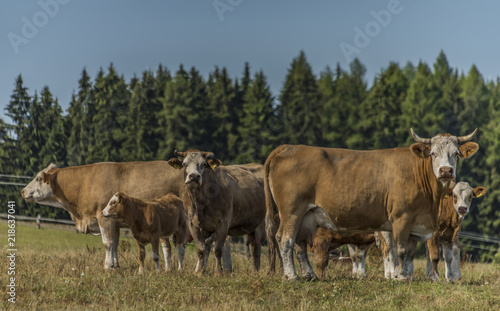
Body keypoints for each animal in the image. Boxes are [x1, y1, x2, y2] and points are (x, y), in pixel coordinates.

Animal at [266, 130, 480, 282]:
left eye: (456, 154)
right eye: (433, 153)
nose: (446, 171)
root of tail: (288, 147)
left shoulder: (415, 223)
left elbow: (409, 253)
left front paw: (407, 275)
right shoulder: (402, 217)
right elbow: (400, 250)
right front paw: (400, 276)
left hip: (307, 216)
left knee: (300, 243)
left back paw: (309, 275)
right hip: (292, 212)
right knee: (285, 239)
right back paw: (292, 276)